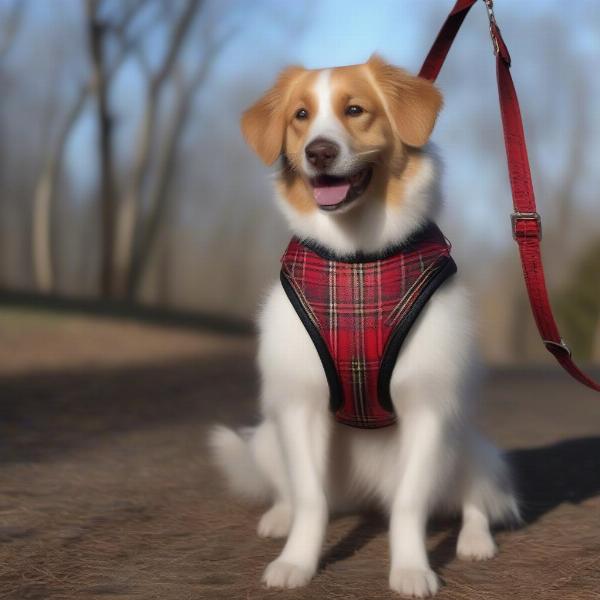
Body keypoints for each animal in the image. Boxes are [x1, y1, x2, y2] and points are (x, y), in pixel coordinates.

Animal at [209, 55, 516, 596]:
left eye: (355, 110)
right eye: (301, 115)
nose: (320, 152)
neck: (356, 260)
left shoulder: (429, 407)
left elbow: (410, 504)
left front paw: (411, 569)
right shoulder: (299, 403)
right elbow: (310, 499)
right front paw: (297, 562)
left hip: (466, 444)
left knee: (476, 498)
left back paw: (475, 540)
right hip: (268, 439)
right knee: (296, 491)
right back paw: (280, 517)